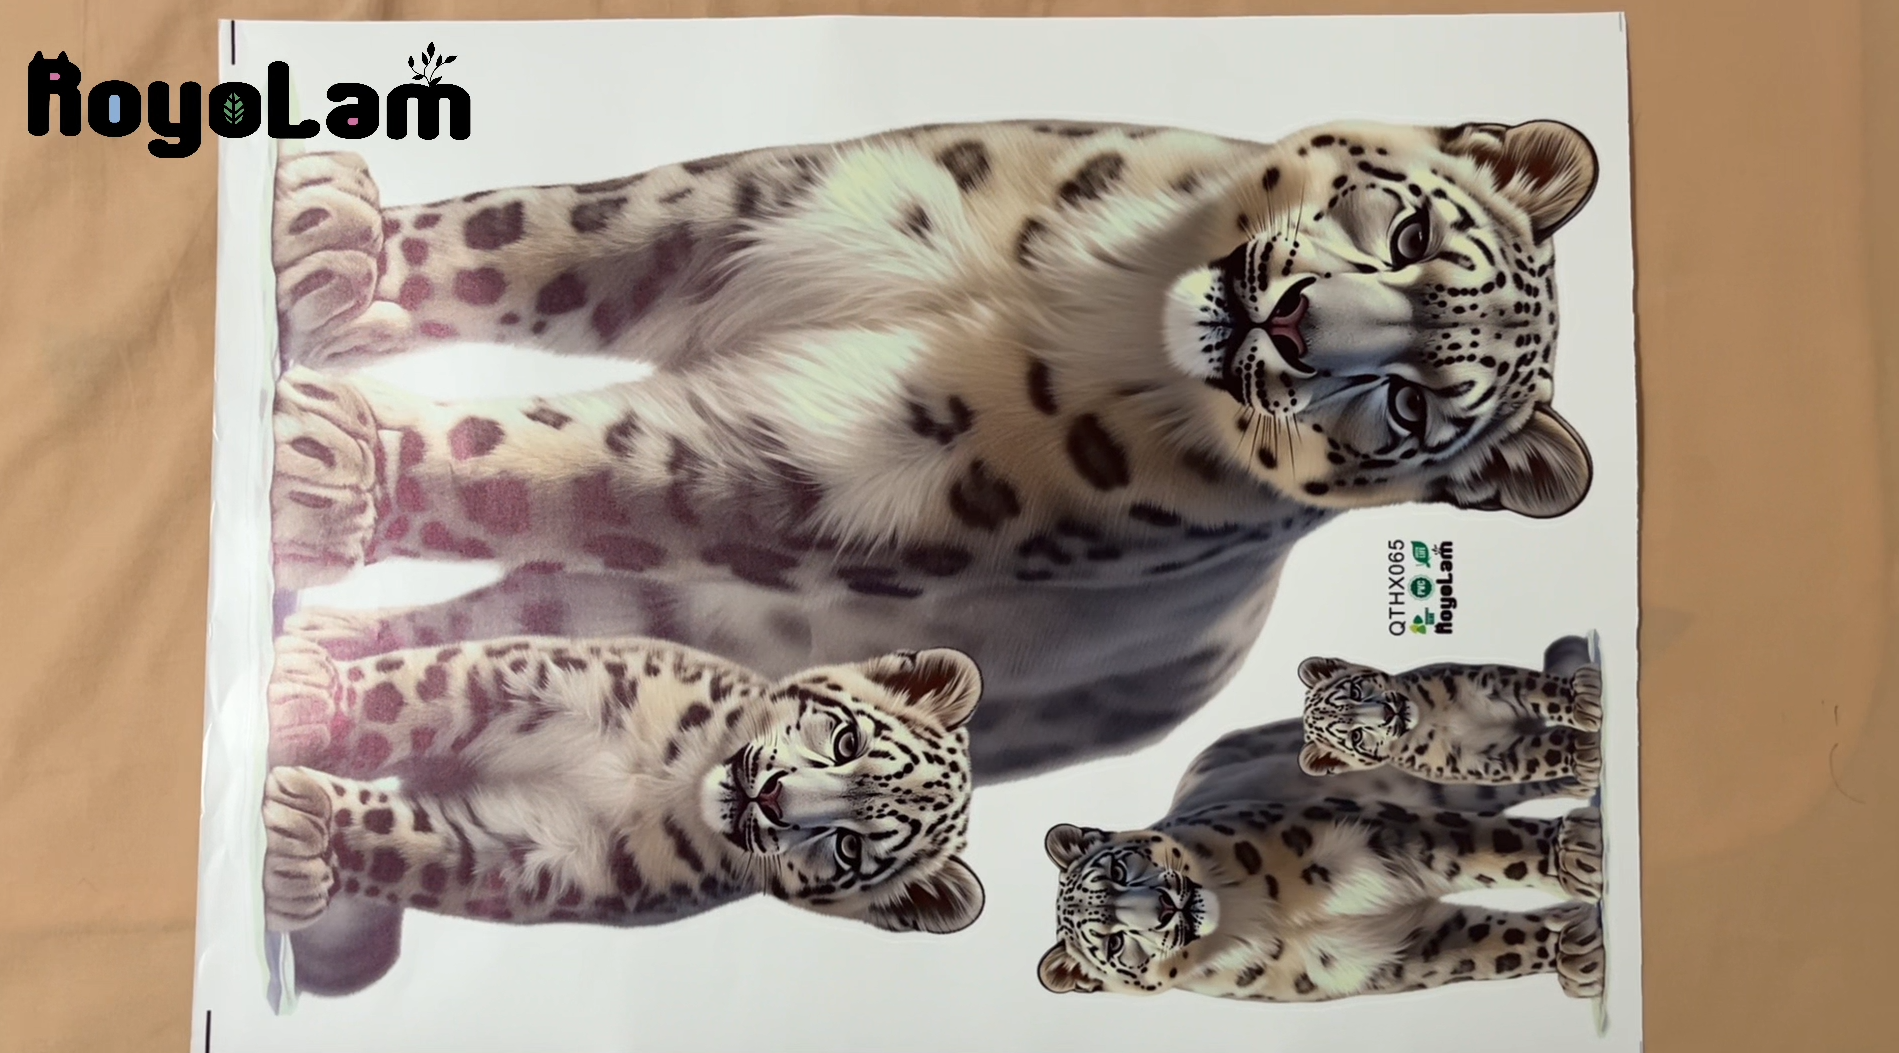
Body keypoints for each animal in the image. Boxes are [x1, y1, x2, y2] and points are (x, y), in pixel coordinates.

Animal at [260, 610, 985, 995]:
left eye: (849, 846)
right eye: (846, 739)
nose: (773, 795)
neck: (667, 773)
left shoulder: (536, 853)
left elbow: (404, 845)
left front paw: (303, 835)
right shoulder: (532, 679)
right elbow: (414, 691)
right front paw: (308, 707)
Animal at [1296, 640, 1603, 791]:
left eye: (1356, 691)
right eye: (1356, 736)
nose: (1388, 711)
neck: (1432, 717)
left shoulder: (1490, 682)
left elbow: (1540, 689)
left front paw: (1583, 703)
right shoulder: (1482, 759)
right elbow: (1541, 757)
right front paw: (1583, 751)